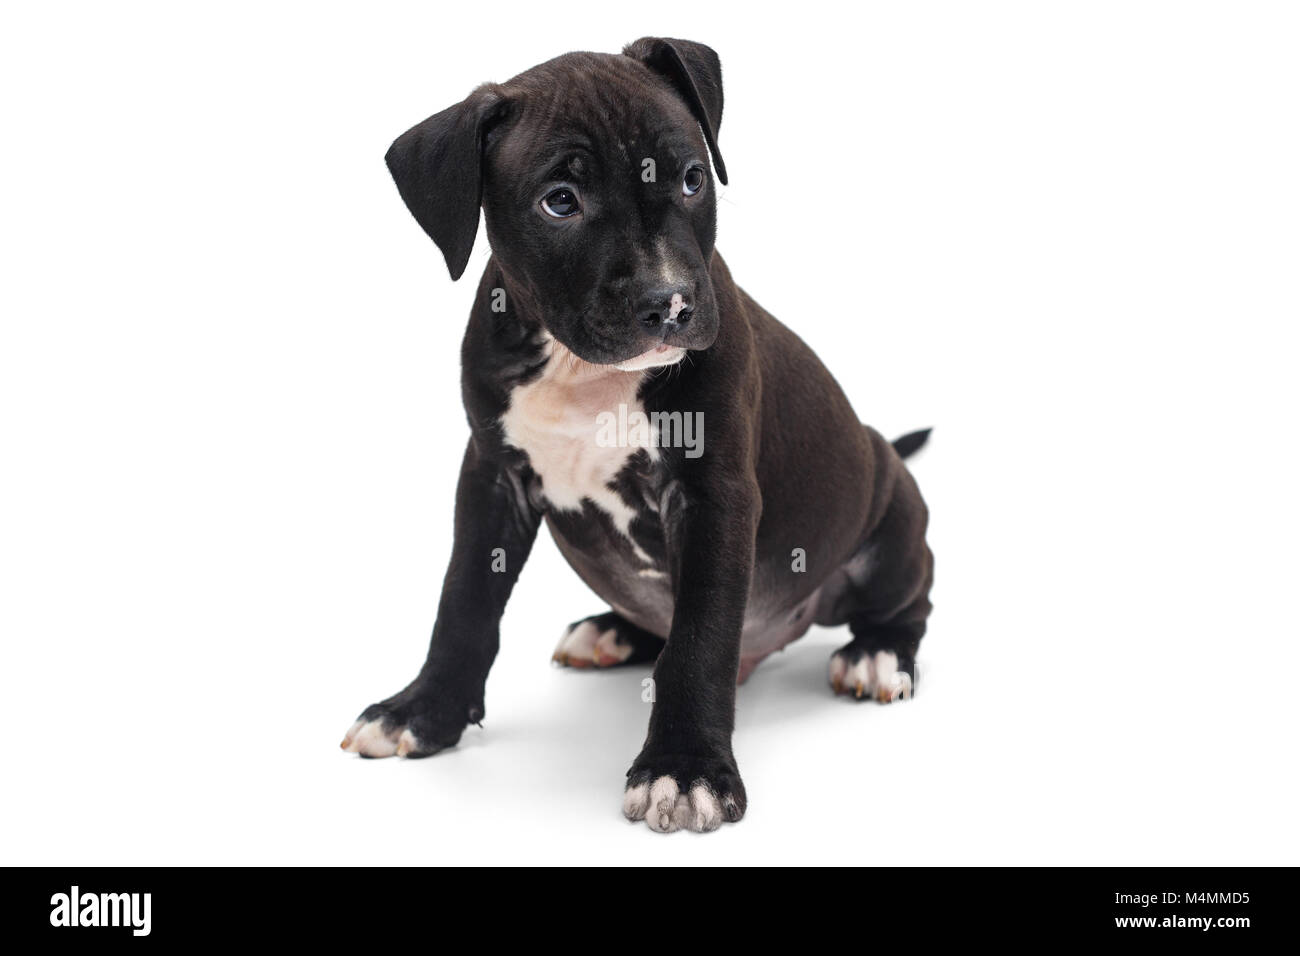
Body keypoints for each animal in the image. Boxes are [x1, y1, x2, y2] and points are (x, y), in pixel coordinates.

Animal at [343, 37, 935, 832]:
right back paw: (613, 630)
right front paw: (423, 710)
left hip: (893, 511)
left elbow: (700, 637)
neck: (581, 370)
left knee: (912, 598)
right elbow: (463, 597)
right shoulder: (492, 476)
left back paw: (878, 653)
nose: (671, 303)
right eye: (560, 202)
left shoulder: (712, 497)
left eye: (692, 178)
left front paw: (684, 770)